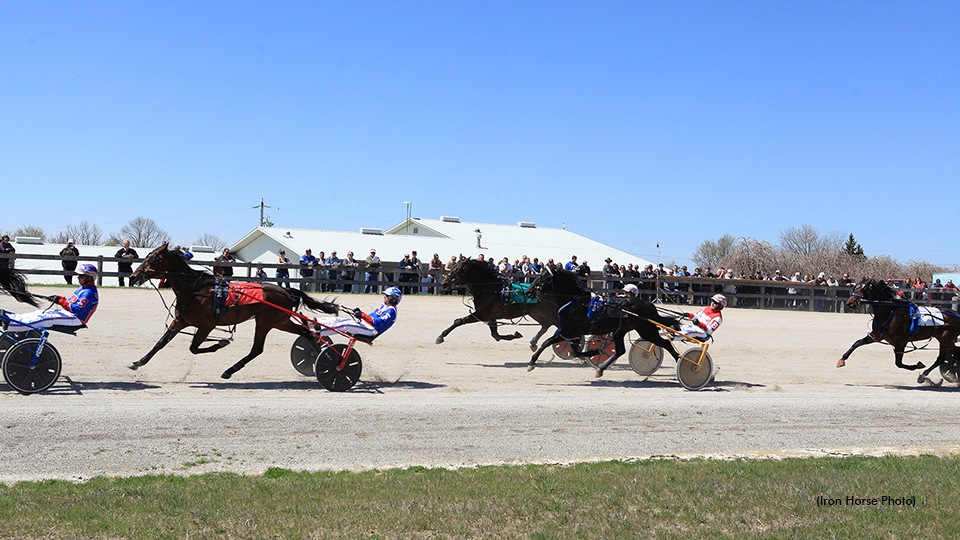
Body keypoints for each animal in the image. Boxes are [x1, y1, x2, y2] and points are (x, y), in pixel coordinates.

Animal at [127, 244, 338, 380]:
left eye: (152, 258)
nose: (133, 276)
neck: (194, 289)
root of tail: (285, 290)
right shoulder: (179, 321)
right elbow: (160, 343)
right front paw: (137, 362)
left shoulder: (206, 325)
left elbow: (193, 348)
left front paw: (221, 343)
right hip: (280, 322)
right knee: (304, 332)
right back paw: (319, 355)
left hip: (266, 322)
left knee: (257, 349)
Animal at [520, 264, 680, 376]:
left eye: (544, 278)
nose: (528, 291)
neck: (577, 302)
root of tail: (648, 304)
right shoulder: (573, 333)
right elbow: (574, 352)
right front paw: (595, 351)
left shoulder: (568, 331)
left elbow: (547, 342)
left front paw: (531, 362)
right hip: (620, 331)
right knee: (620, 350)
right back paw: (600, 369)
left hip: (647, 330)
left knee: (666, 344)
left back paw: (680, 362)